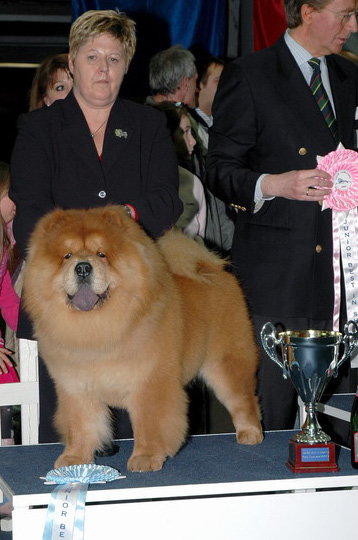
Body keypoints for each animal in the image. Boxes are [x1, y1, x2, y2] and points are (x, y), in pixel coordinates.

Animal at [23, 205, 262, 470]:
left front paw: (145, 458)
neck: (98, 330)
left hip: (224, 364)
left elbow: (149, 424)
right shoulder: (76, 386)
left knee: (244, 399)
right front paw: (74, 460)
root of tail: (211, 269)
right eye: (67, 255)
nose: (83, 267)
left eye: (101, 254)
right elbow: (81, 425)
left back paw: (251, 434)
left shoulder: (149, 381)